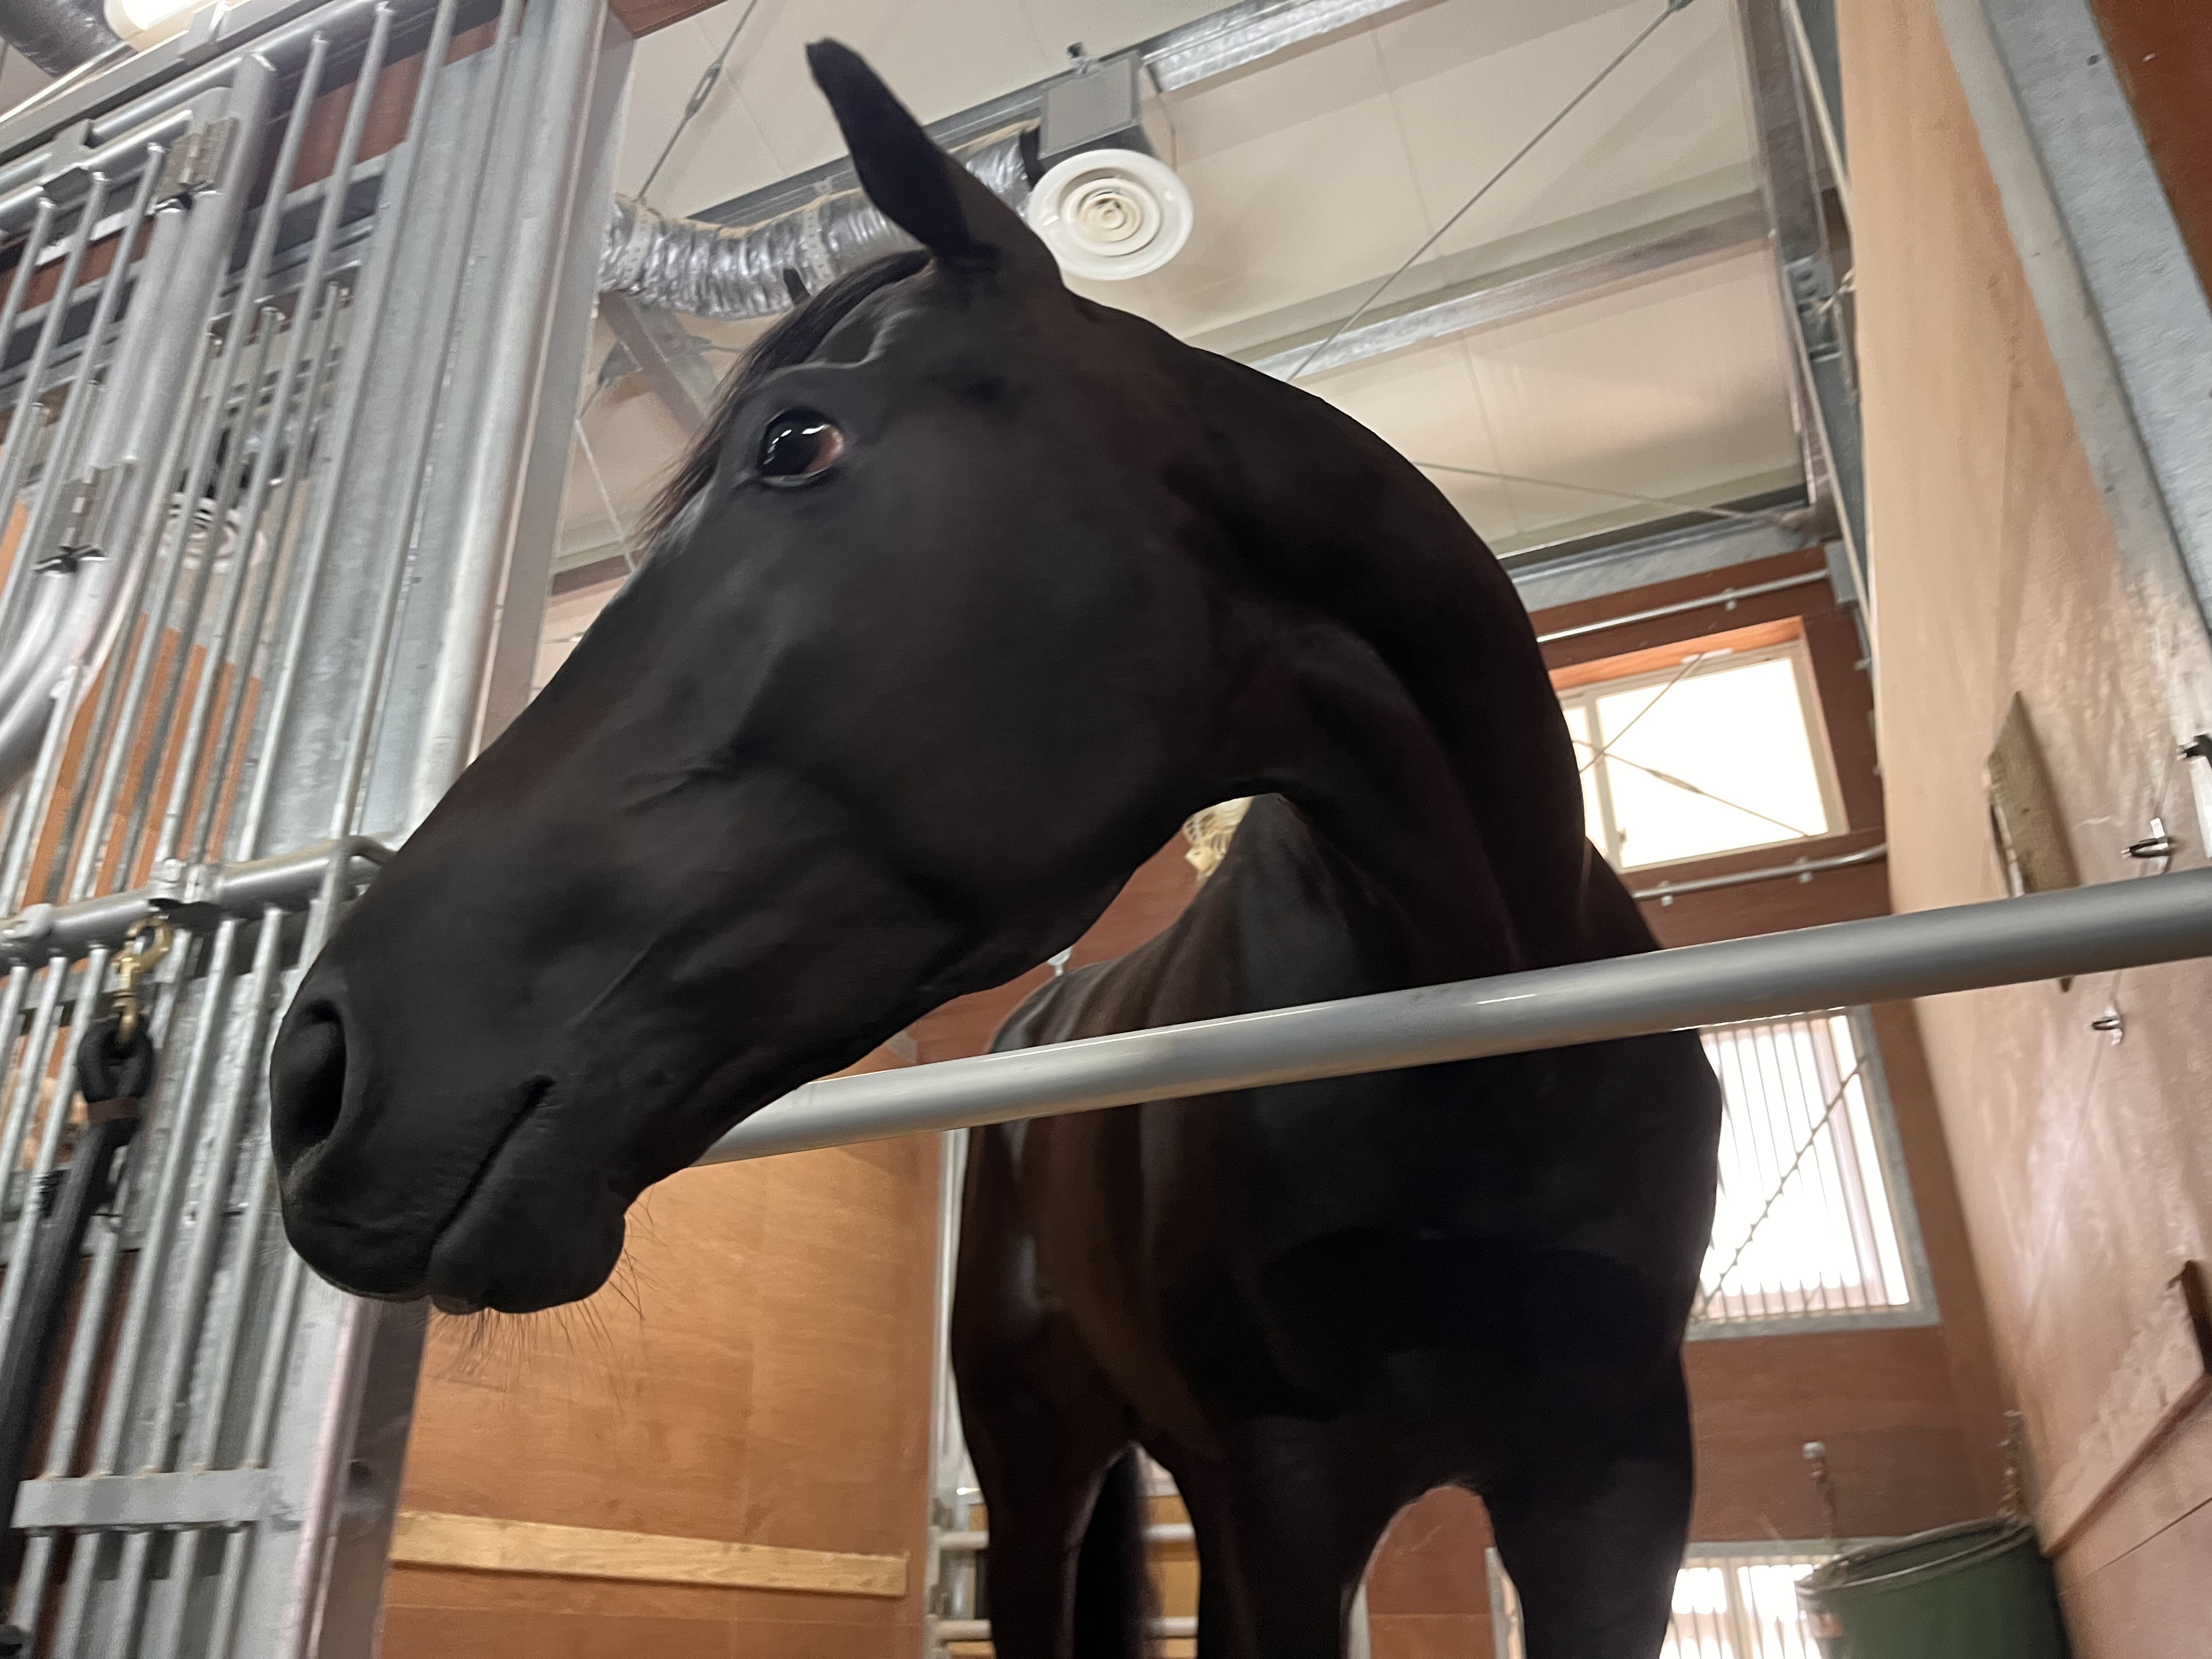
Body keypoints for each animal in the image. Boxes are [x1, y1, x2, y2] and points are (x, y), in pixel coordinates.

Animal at [268, 42, 1721, 1659]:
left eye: (797, 442)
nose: (313, 1079)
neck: (1493, 1042)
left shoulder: (1615, 1481)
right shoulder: (1290, 1486)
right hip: (1047, 1474)